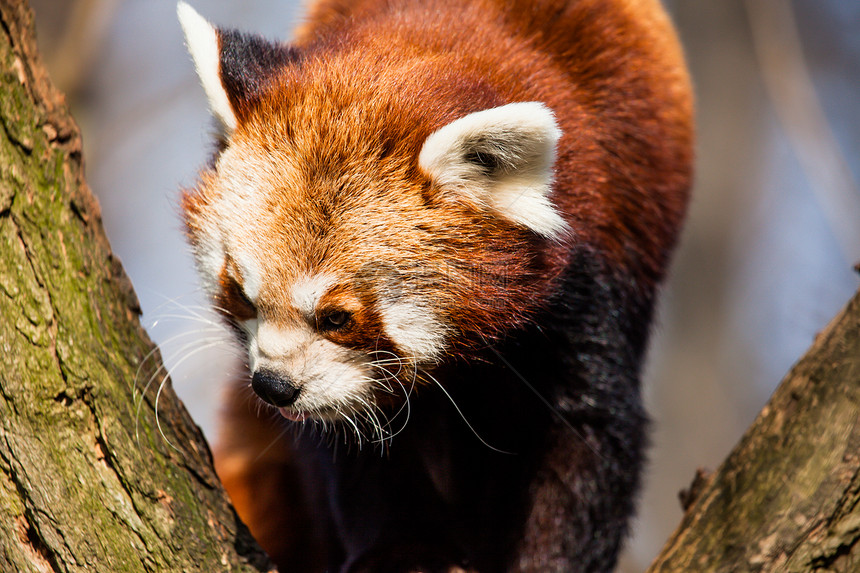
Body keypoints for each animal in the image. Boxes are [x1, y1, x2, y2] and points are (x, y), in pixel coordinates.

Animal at [176, 1, 692, 568]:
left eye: (337, 318)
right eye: (241, 295)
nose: (273, 386)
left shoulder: (592, 278)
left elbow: (587, 436)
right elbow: (355, 443)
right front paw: (404, 551)